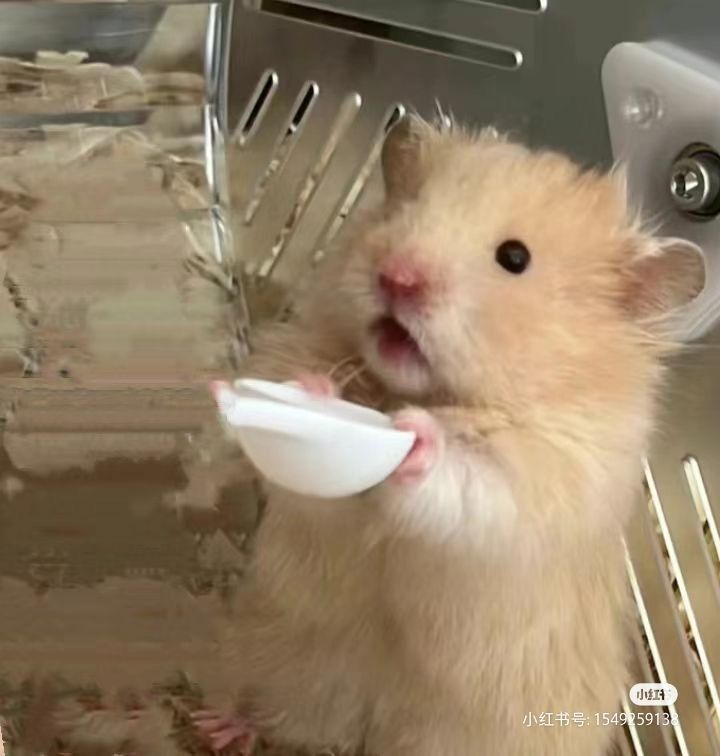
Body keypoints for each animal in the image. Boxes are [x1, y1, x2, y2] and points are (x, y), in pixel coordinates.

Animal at [201, 115, 704, 756]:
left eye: (514, 257)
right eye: (407, 208)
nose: (396, 277)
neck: (421, 392)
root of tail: (366, 728)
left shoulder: (550, 477)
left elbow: (474, 481)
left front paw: (417, 438)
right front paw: (313, 390)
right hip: (272, 645)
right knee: (270, 708)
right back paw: (218, 723)